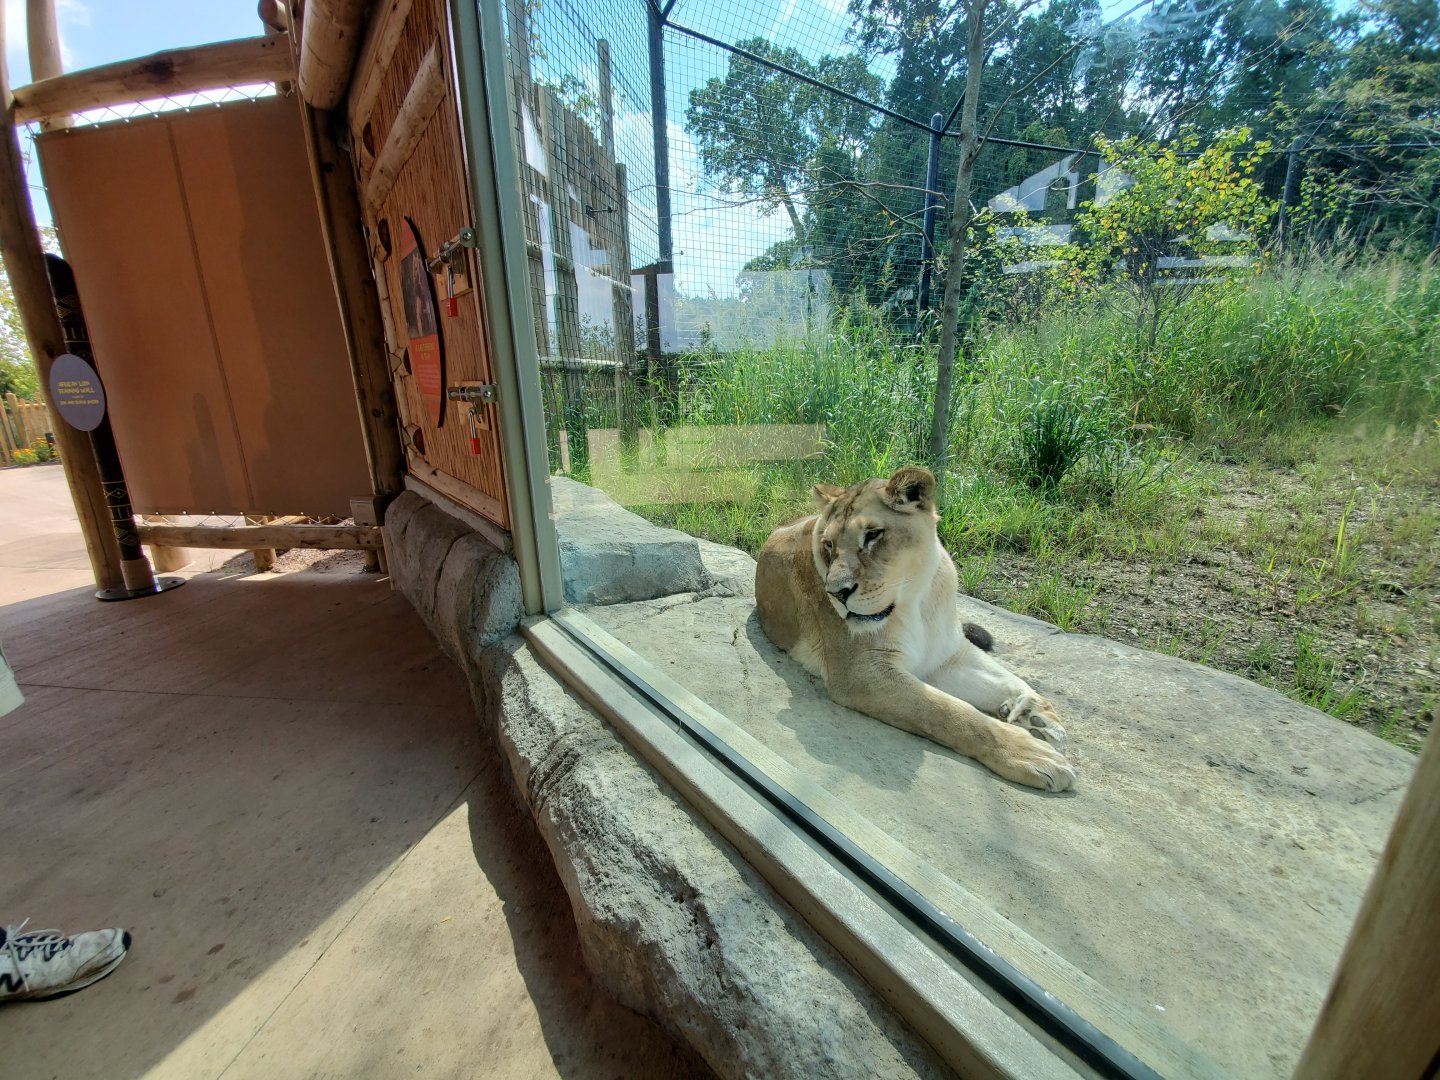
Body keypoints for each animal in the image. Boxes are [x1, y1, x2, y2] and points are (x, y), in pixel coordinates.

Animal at [755, 466, 1076, 792]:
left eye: (873, 535)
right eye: (828, 545)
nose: (835, 593)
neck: (917, 600)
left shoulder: (946, 655)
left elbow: (1003, 678)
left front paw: (1037, 714)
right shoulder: (861, 673)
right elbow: (948, 712)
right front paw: (1028, 753)